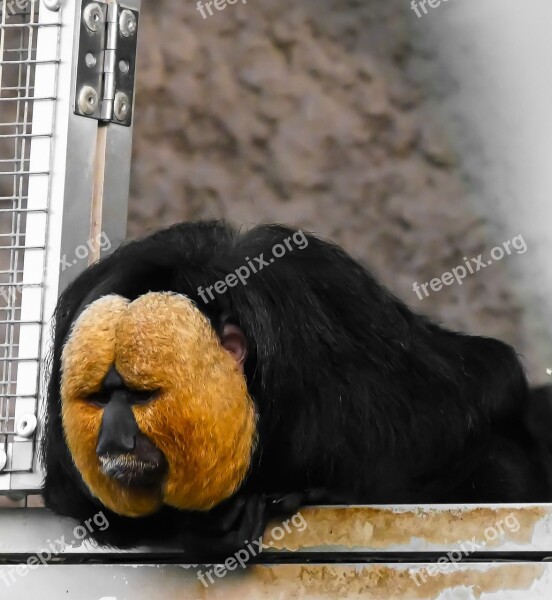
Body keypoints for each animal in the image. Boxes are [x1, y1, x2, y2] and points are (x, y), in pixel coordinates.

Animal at [42, 220, 552, 556]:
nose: (113, 439)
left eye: (139, 396)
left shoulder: (323, 324)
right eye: (102, 399)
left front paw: (318, 493)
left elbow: (469, 405)